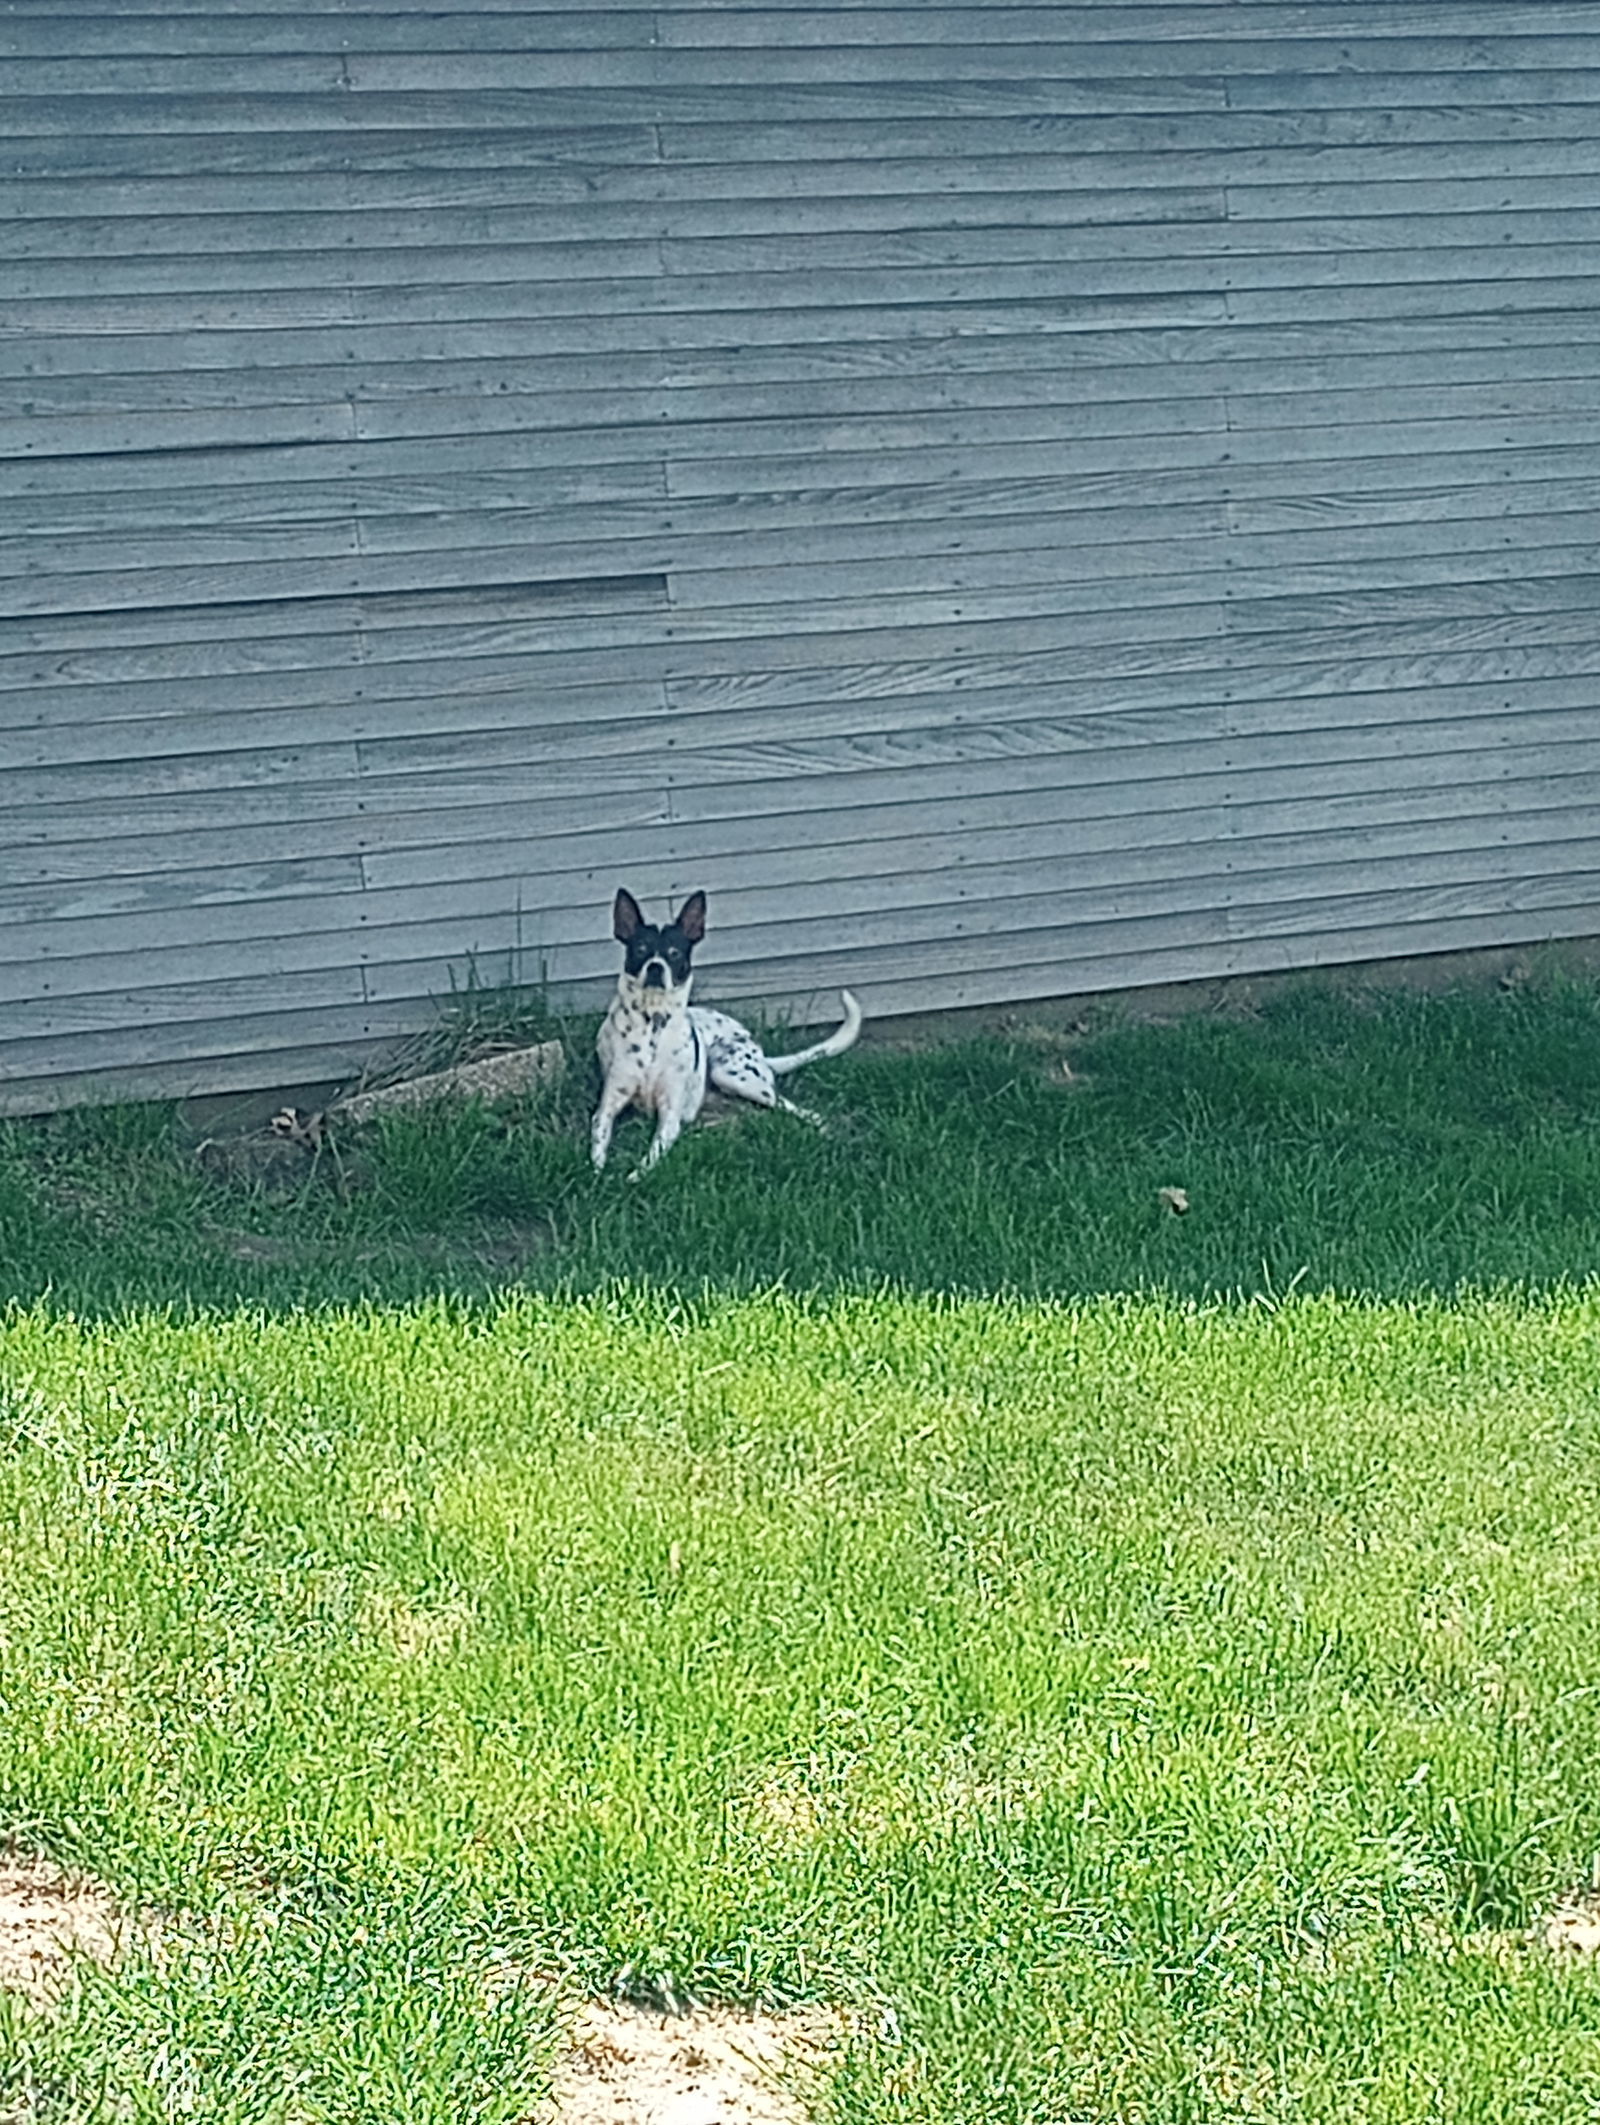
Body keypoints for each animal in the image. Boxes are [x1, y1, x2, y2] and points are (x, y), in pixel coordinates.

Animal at [590, 884, 862, 1181]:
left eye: (674, 953)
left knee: (797, 1108)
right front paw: (598, 1175)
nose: (655, 967)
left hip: (733, 1072)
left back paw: (825, 1129)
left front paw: (634, 1177)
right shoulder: (608, 1107)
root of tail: (758, 1051)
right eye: (640, 949)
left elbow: (652, 1154)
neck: (654, 1023)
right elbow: (599, 1140)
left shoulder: (669, 1117)